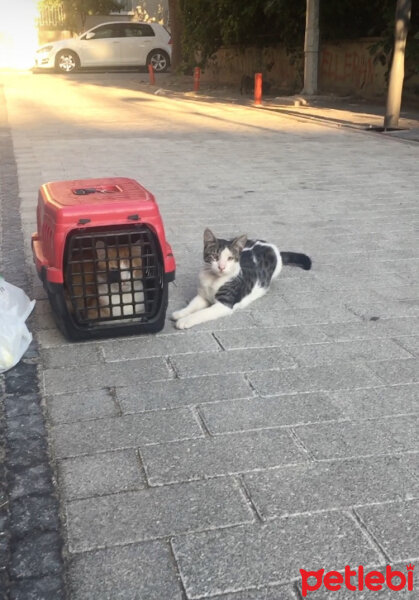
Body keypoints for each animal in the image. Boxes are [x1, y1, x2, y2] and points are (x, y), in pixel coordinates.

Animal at [171, 229, 312, 330]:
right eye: (215, 256)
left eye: (230, 258)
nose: (221, 267)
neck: (213, 279)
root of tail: (269, 245)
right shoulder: (202, 296)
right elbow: (192, 305)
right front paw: (180, 313)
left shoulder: (225, 303)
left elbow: (203, 313)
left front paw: (185, 321)